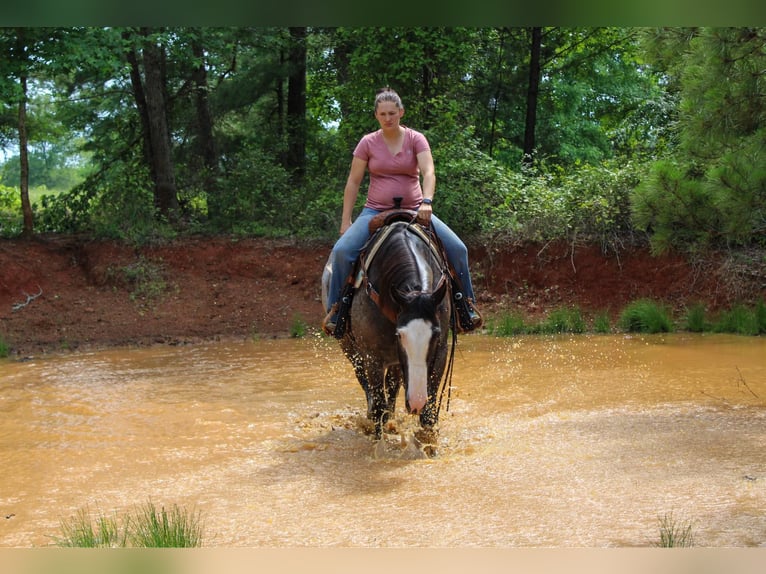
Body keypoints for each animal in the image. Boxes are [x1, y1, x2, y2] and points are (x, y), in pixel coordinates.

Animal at [322, 214, 460, 456]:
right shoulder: (372, 357)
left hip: (394, 361)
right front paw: (379, 448)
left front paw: (429, 446)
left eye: (435, 335)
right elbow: (377, 402)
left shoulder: (441, 351)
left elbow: (429, 408)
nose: (415, 401)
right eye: (400, 335)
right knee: (366, 384)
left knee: (394, 385)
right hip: (350, 349)